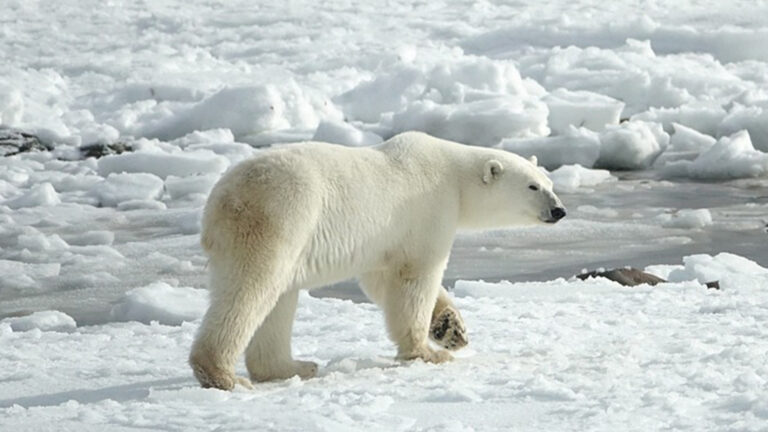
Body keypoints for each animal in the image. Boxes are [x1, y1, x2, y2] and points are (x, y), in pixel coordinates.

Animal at [190, 130, 568, 390]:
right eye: (532, 187)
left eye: (549, 182)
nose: (559, 210)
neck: (454, 176)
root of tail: (221, 200)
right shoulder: (427, 210)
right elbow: (416, 277)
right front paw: (428, 351)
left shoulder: (384, 240)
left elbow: (382, 280)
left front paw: (451, 330)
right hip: (280, 217)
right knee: (252, 289)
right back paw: (223, 375)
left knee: (278, 298)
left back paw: (294, 366)